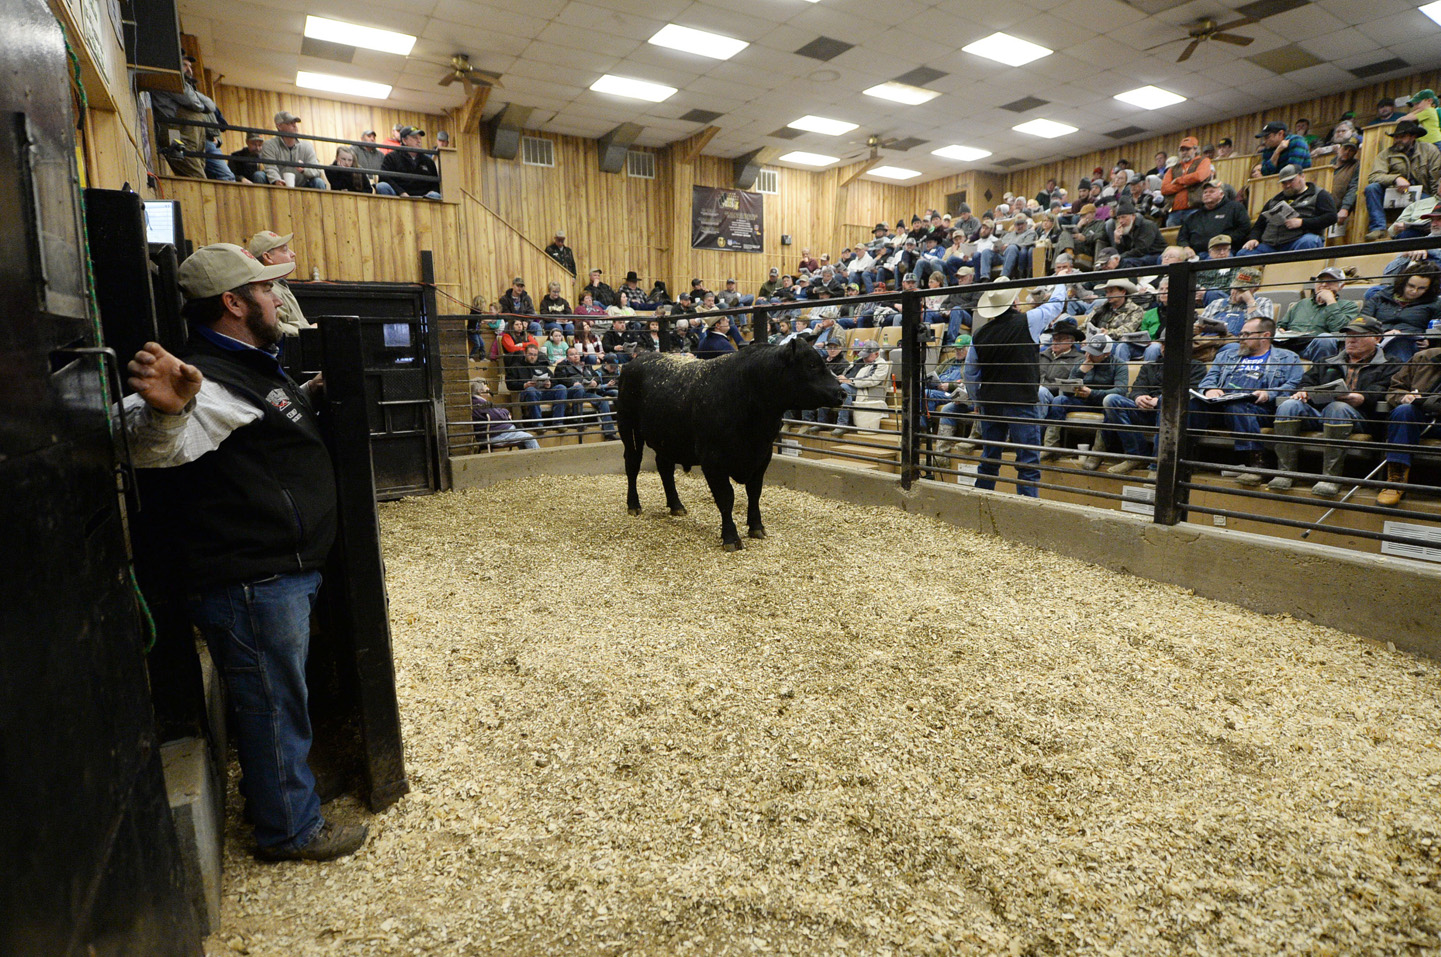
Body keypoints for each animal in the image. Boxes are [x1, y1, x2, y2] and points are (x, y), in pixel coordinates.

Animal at [616, 340, 841, 550]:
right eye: (811, 365)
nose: (842, 392)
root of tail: (636, 360)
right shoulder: (712, 460)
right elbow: (726, 498)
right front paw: (731, 537)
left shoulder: (762, 456)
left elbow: (754, 493)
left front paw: (756, 527)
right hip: (627, 426)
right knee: (632, 464)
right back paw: (633, 505)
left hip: (667, 439)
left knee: (665, 468)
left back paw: (676, 505)